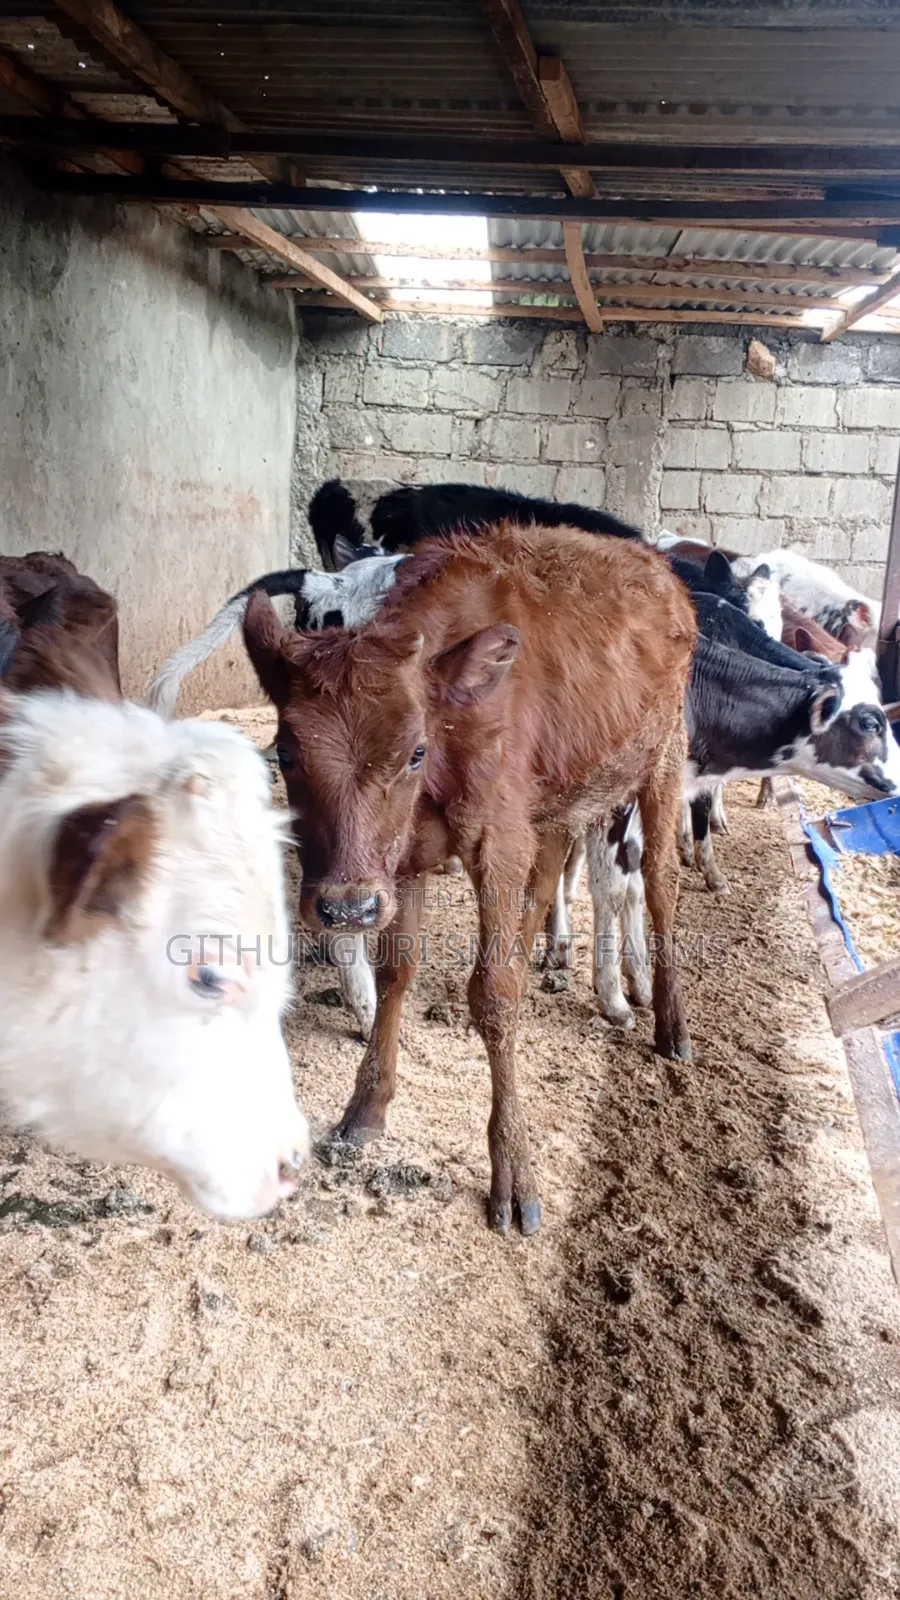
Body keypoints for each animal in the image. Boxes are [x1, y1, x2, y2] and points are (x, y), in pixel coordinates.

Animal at [241, 522, 697, 1236]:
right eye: (287, 753)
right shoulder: (403, 860)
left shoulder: (494, 841)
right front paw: (367, 1105)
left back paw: (672, 1024)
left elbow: (495, 993)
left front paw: (513, 1172)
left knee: (659, 880)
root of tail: (652, 561)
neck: (454, 726)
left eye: (414, 752)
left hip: (662, 754)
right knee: (547, 875)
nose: (344, 909)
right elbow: (397, 970)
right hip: (554, 799)